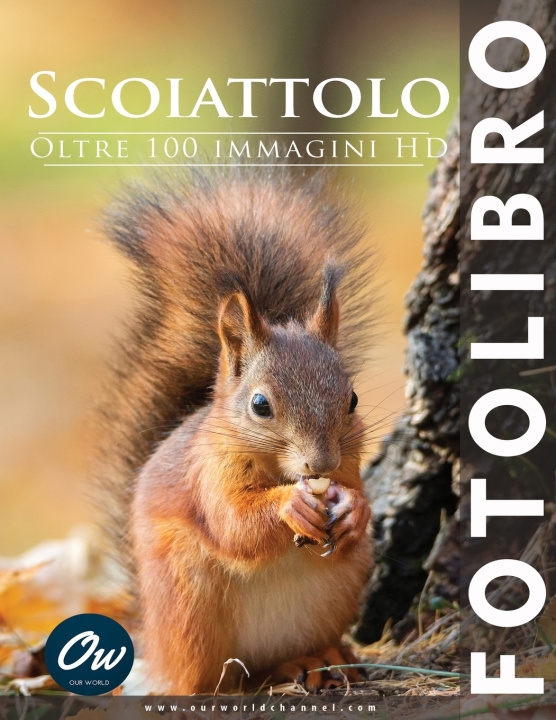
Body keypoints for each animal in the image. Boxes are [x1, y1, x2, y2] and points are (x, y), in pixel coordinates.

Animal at [94, 165, 376, 694]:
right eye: (260, 405)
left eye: (352, 399)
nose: (321, 463)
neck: (279, 470)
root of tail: (151, 641)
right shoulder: (208, 473)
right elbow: (233, 525)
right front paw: (291, 507)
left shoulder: (350, 462)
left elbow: (355, 498)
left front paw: (353, 508)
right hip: (188, 601)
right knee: (207, 677)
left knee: (275, 662)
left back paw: (318, 659)